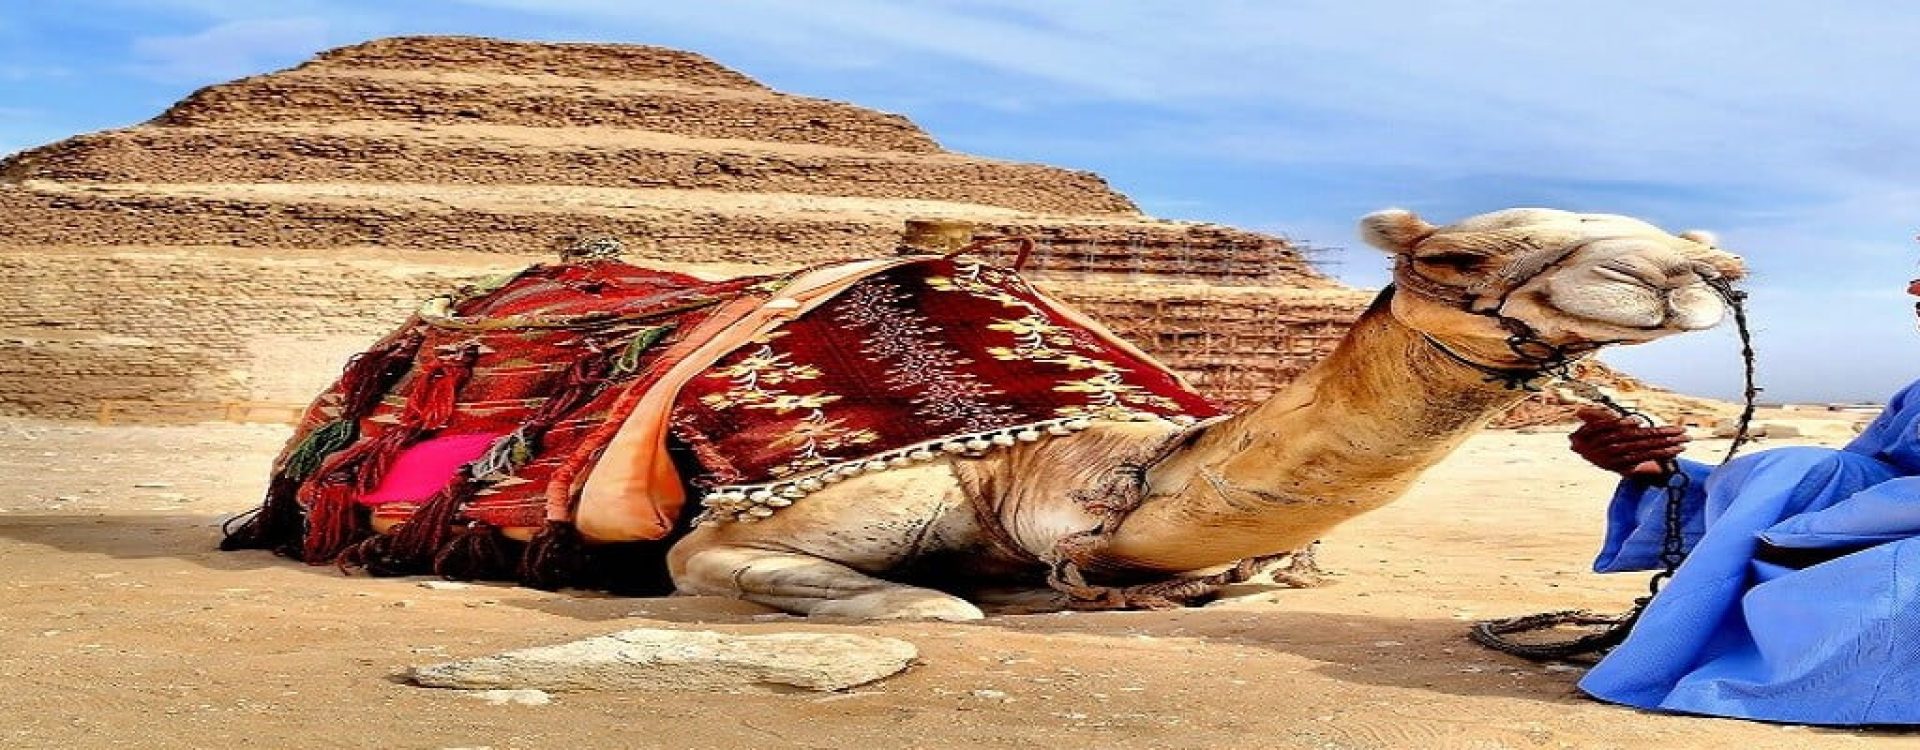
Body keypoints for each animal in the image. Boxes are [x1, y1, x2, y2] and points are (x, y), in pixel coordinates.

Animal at [663, 207, 1747, 620]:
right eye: (1453, 257)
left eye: (1696, 249)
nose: (1688, 268)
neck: (1050, 465)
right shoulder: (755, 525)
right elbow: (921, 602)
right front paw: (941, 596)